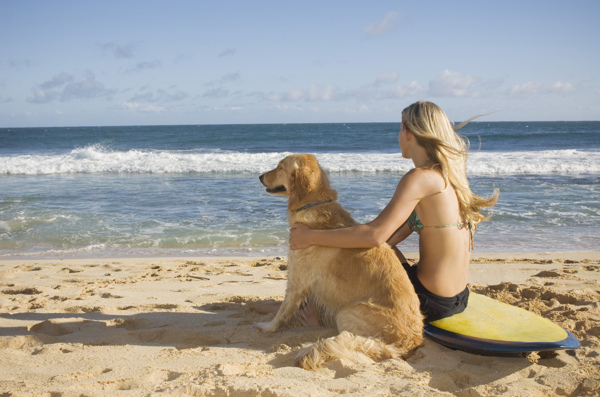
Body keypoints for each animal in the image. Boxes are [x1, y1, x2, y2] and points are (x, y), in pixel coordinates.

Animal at [256, 154, 422, 368]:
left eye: (280, 167)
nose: (260, 176)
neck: (314, 204)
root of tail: (410, 342)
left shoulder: (296, 282)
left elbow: (282, 312)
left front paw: (268, 327)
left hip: (347, 311)